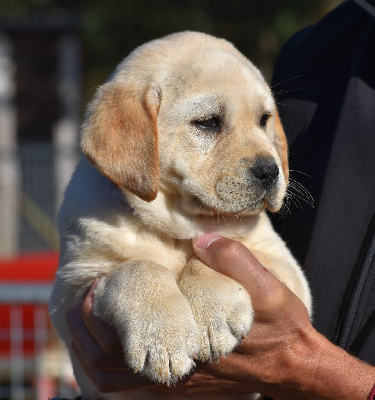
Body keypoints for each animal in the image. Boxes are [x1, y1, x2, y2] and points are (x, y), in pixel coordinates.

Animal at [51, 32, 312, 400]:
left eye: (264, 120)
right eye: (208, 123)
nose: (270, 171)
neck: (179, 230)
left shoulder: (287, 270)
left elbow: (213, 256)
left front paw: (213, 314)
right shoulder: (73, 294)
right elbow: (136, 269)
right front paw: (162, 337)